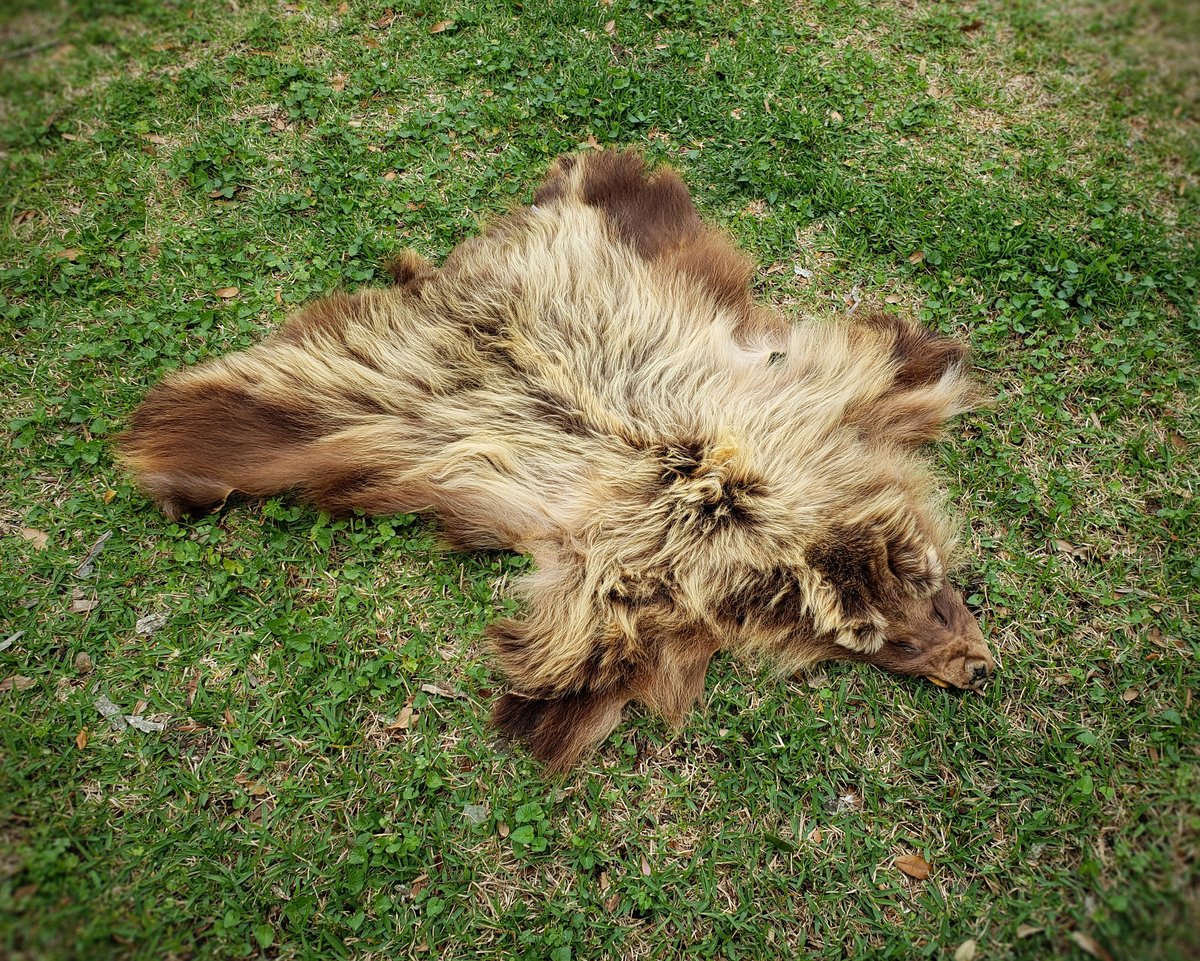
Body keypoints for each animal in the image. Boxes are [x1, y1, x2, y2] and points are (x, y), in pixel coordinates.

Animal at [118, 149, 993, 772]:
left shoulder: (825, 404)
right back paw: (172, 438)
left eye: (937, 592)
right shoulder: (630, 573)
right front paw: (546, 713)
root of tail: (458, 280)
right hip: (347, 411)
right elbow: (591, 653)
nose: (977, 667)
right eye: (878, 643)